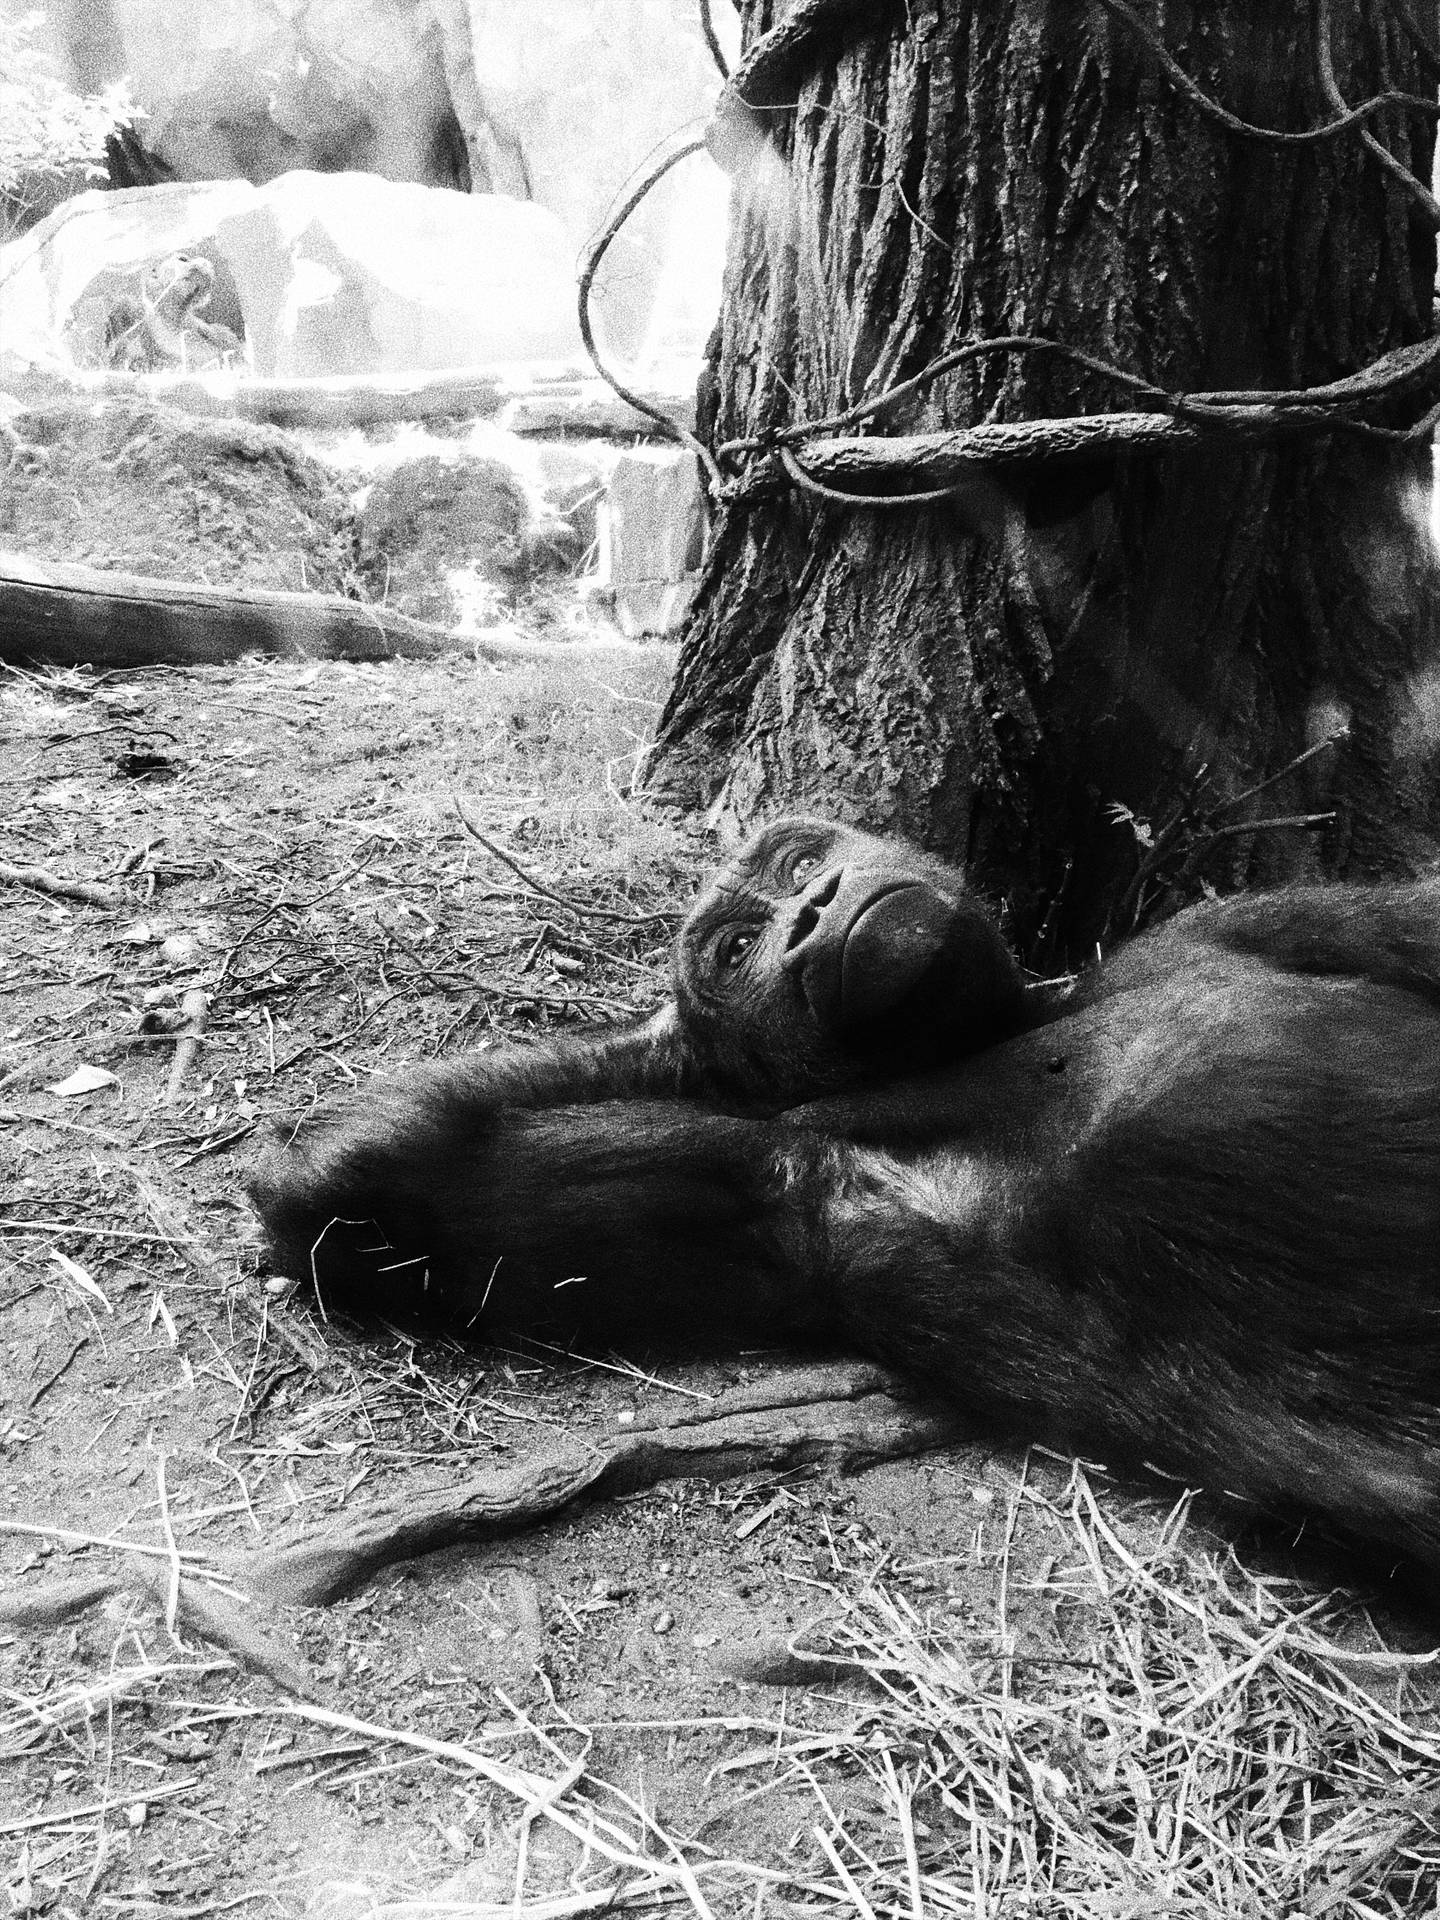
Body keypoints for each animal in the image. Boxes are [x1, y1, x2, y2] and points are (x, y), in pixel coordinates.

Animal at [249, 817, 1440, 1574]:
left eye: (798, 862)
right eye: (741, 947)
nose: (816, 904)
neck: (1003, 1030)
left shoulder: (1260, 918)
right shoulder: (795, 1198)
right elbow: (418, 1206)